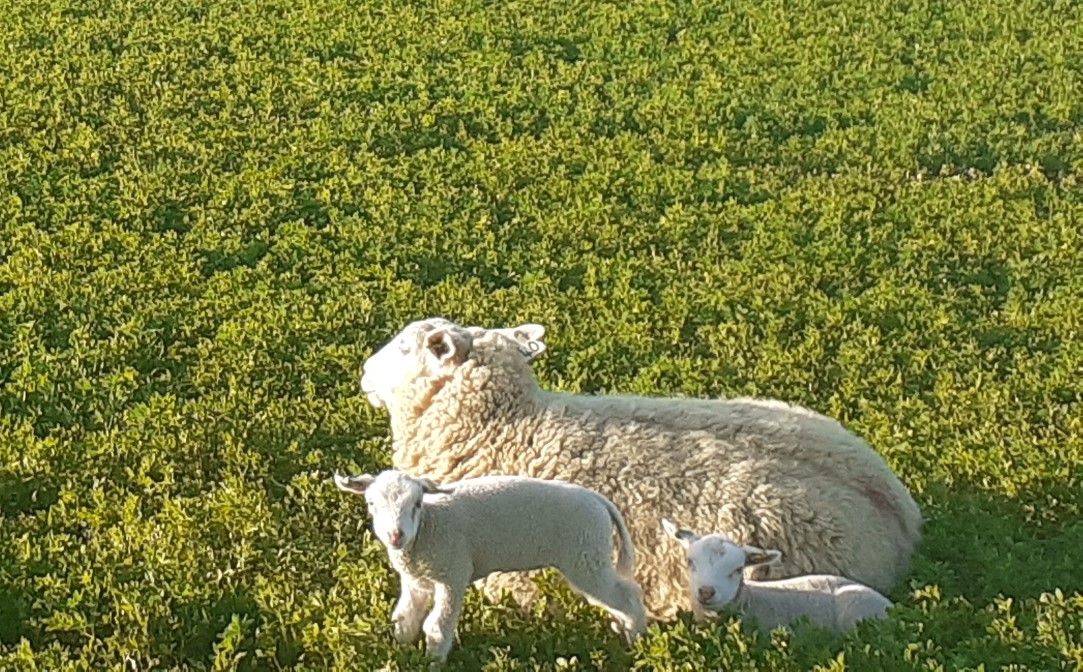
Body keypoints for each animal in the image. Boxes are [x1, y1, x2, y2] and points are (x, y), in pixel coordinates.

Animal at [333, 470, 645, 663]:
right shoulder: (416, 581)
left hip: (585, 555)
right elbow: (404, 617)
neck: (428, 529)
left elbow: (436, 626)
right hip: (590, 555)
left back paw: (637, 639)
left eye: (418, 503)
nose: (396, 535)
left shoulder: (453, 574)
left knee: (628, 594)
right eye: (371, 503)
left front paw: (433, 662)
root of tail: (599, 501)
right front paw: (402, 653)